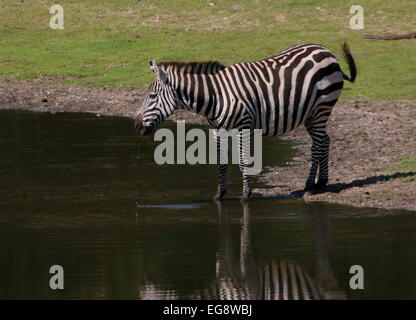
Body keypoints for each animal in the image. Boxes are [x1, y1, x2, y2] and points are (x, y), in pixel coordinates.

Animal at [135, 41, 356, 199]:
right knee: (325, 140)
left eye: (152, 96)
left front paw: (245, 194)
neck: (216, 96)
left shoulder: (244, 126)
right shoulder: (218, 130)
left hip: (322, 107)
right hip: (310, 113)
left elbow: (242, 161)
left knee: (317, 145)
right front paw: (219, 194)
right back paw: (322, 182)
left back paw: (310, 185)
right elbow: (221, 162)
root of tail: (325, 50)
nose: (136, 125)